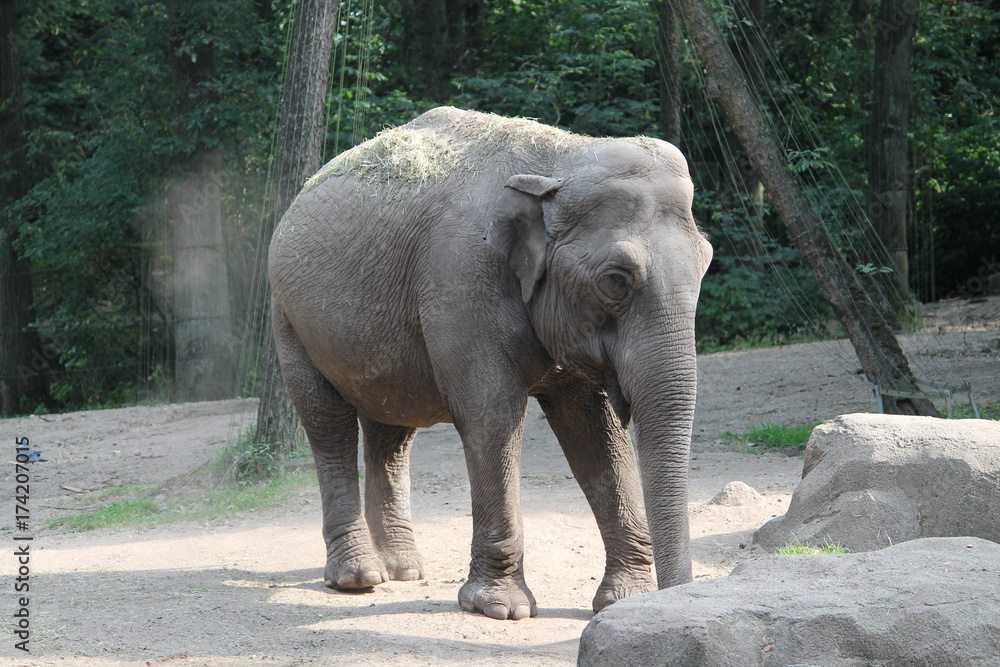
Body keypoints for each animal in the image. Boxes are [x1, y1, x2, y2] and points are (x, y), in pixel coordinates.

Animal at [268, 106, 712, 620]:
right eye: (616, 280)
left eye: (707, 262)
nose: (671, 599)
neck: (559, 161)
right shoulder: (461, 281)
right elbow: (492, 416)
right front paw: (501, 608)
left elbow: (592, 429)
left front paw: (626, 599)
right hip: (288, 318)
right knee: (328, 422)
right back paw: (358, 578)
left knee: (391, 429)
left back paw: (403, 569)